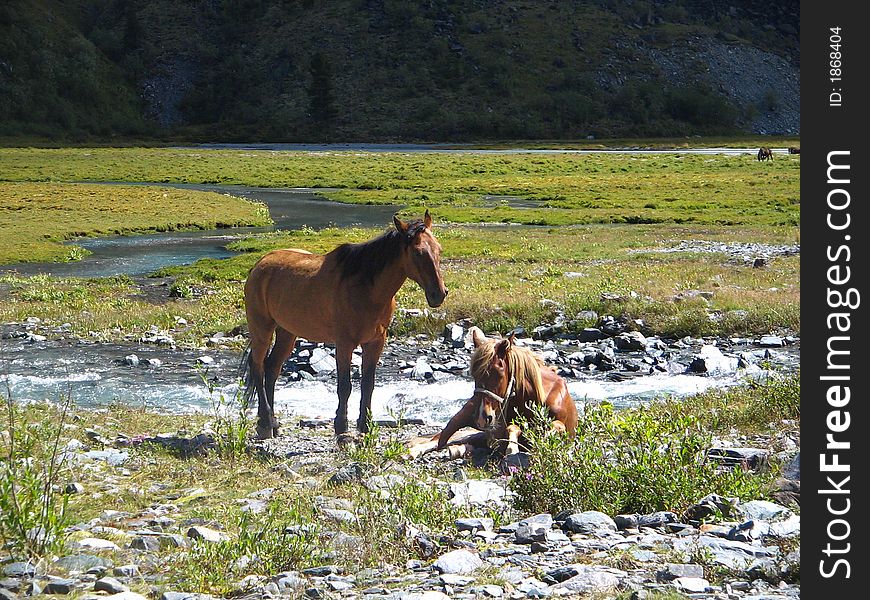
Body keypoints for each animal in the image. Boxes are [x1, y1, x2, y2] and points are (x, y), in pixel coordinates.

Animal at [245, 213, 450, 438]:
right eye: (417, 252)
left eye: (439, 249)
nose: (439, 294)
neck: (367, 290)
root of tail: (260, 264)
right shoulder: (344, 344)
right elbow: (345, 386)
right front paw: (341, 427)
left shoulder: (375, 342)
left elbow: (368, 385)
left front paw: (365, 425)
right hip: (262, 329)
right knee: (258, 367)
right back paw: (265, 422)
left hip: (287, 333)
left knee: (272, 368)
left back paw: (273, 424)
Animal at [408, 328, 580, 460]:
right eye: (474, 374)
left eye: (499, 372)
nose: (483, 417)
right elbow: (512, 428)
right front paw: (513, 448)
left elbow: (556, 427)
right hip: (463, 416)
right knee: (439, 439)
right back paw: (415, 451)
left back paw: (460, 449)